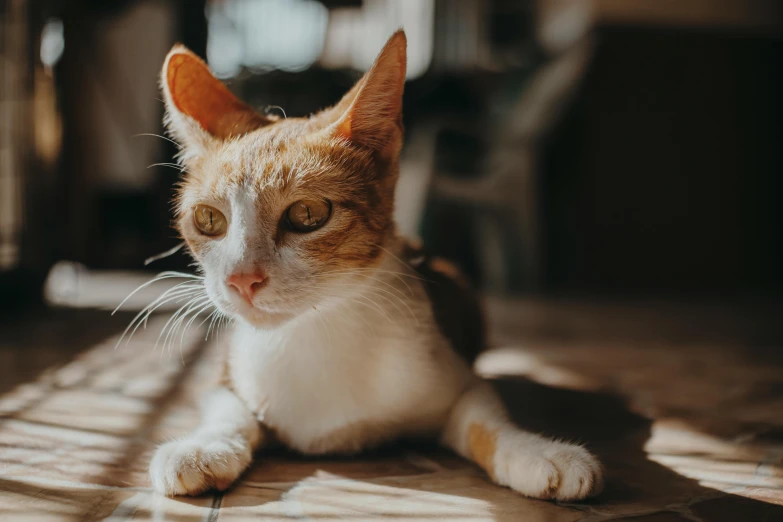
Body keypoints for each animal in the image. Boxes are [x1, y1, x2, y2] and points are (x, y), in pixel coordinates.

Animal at [147, 29, 604, 500]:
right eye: (208, 220)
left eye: (308, 214)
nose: (241, 279)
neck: (316, 330)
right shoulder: (227, 372)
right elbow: (227, 408)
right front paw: (203, 446)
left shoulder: (455, 376)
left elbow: (486, 419)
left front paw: (537, 452)